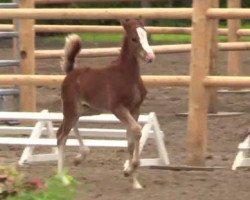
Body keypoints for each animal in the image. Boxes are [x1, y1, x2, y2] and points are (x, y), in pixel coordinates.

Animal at [57, 19, 154, 189]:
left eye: (146, 35)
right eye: (134, 39)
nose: (150, 56)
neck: (127, 75)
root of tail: (70, 72)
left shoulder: (135, 109)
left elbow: (131, 139)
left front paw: (134, 181)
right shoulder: (118, 108)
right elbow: (136, 130)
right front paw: (130, 169)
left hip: (85, 110)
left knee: (69, 128)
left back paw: (80, 156)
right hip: (71, 108)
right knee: (61, 135)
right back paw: (62, 178)